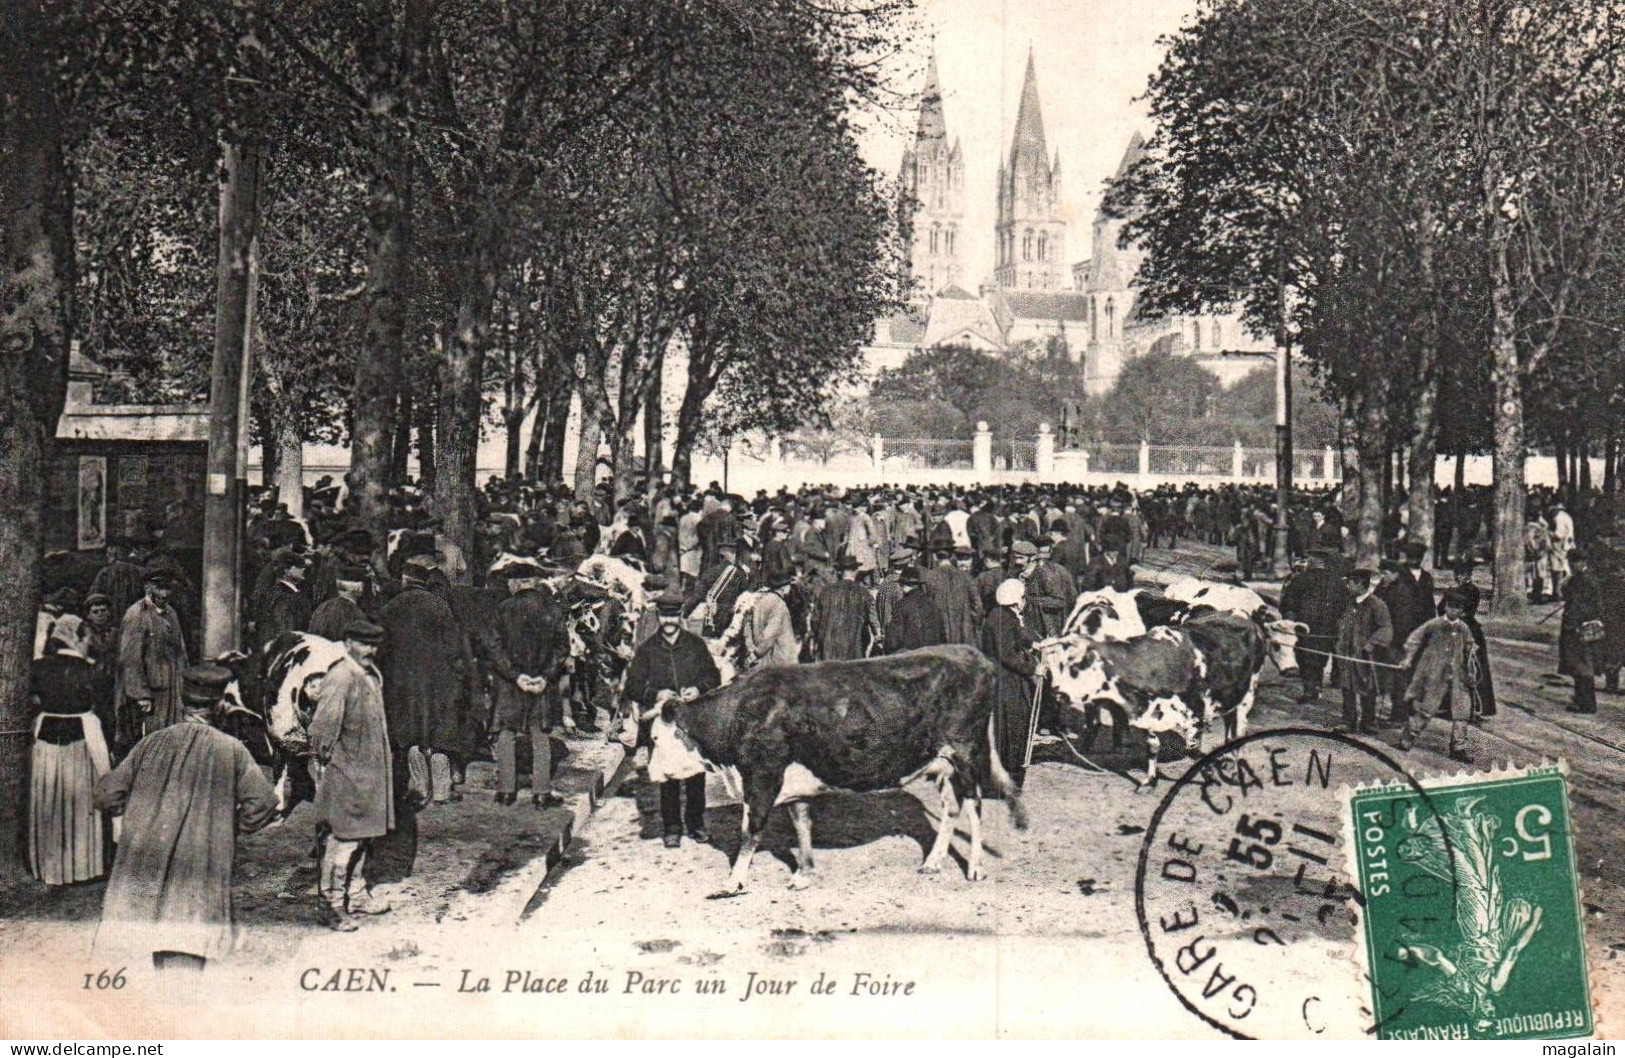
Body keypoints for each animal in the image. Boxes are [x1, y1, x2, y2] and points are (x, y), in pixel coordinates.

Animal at [669, 646, 1027, 897]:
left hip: (966, 752)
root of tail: (974, 654)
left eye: (659, 737)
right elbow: (801, 823)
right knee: (951, 808)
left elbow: (749, 833)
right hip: (941, 763)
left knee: (974, 807)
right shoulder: (791, 783)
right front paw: (803, 875)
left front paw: (732, 884)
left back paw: (976, 868)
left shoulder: (761, 778)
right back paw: (932, 863)